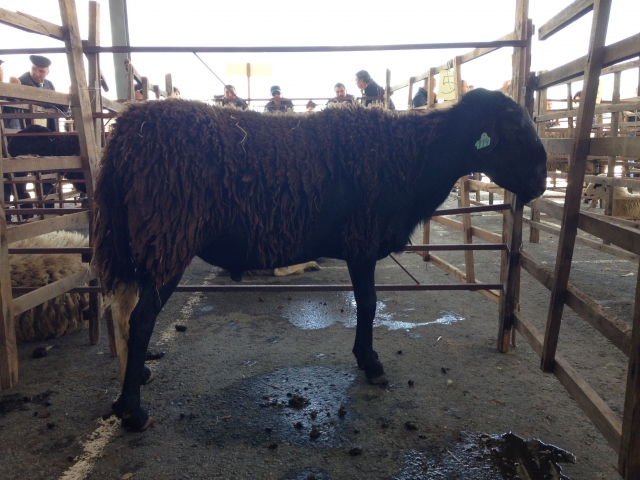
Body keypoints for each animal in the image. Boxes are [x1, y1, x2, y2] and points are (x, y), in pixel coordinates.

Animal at [92, 88, 548, 430]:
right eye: (512, 125)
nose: (542, 181)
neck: (413, 155)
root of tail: (123, 134)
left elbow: (366, 304)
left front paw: (365, 358)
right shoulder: (362, 241)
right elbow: (369, 304)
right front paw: (372, 364)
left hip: (144, 241)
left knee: (127, 313)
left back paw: (134, 381)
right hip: (167, 236)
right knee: (141, 318)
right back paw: (133, 411)